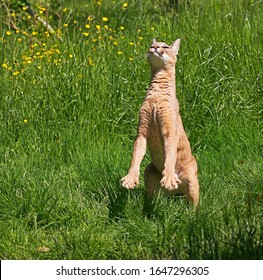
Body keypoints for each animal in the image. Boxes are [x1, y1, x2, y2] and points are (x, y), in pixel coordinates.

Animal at [121, 38, 200, 206]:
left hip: (191, 176)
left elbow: (170, 155)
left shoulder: (169, 131)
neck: (157, 95)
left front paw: (169, 178)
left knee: (195, 204)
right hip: (149, 171)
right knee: (152, 198)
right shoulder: (142, 132)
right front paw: (130, 178)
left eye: (165, 46)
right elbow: (136, 155)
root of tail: (175, 194)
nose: (155, 48)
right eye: (152, 45)